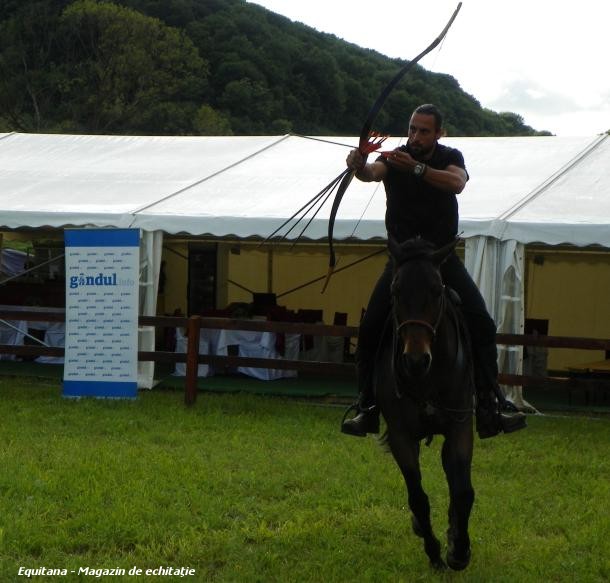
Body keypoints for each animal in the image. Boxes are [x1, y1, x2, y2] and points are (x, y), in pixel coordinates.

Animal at [376, 237, 476, 572]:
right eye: (395, 291)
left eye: (436, 290)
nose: (416, 361)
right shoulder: (401, 436)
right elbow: (418, 497)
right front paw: (434, 552)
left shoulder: (461, 427)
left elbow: (463, 491)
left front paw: (459, 551)